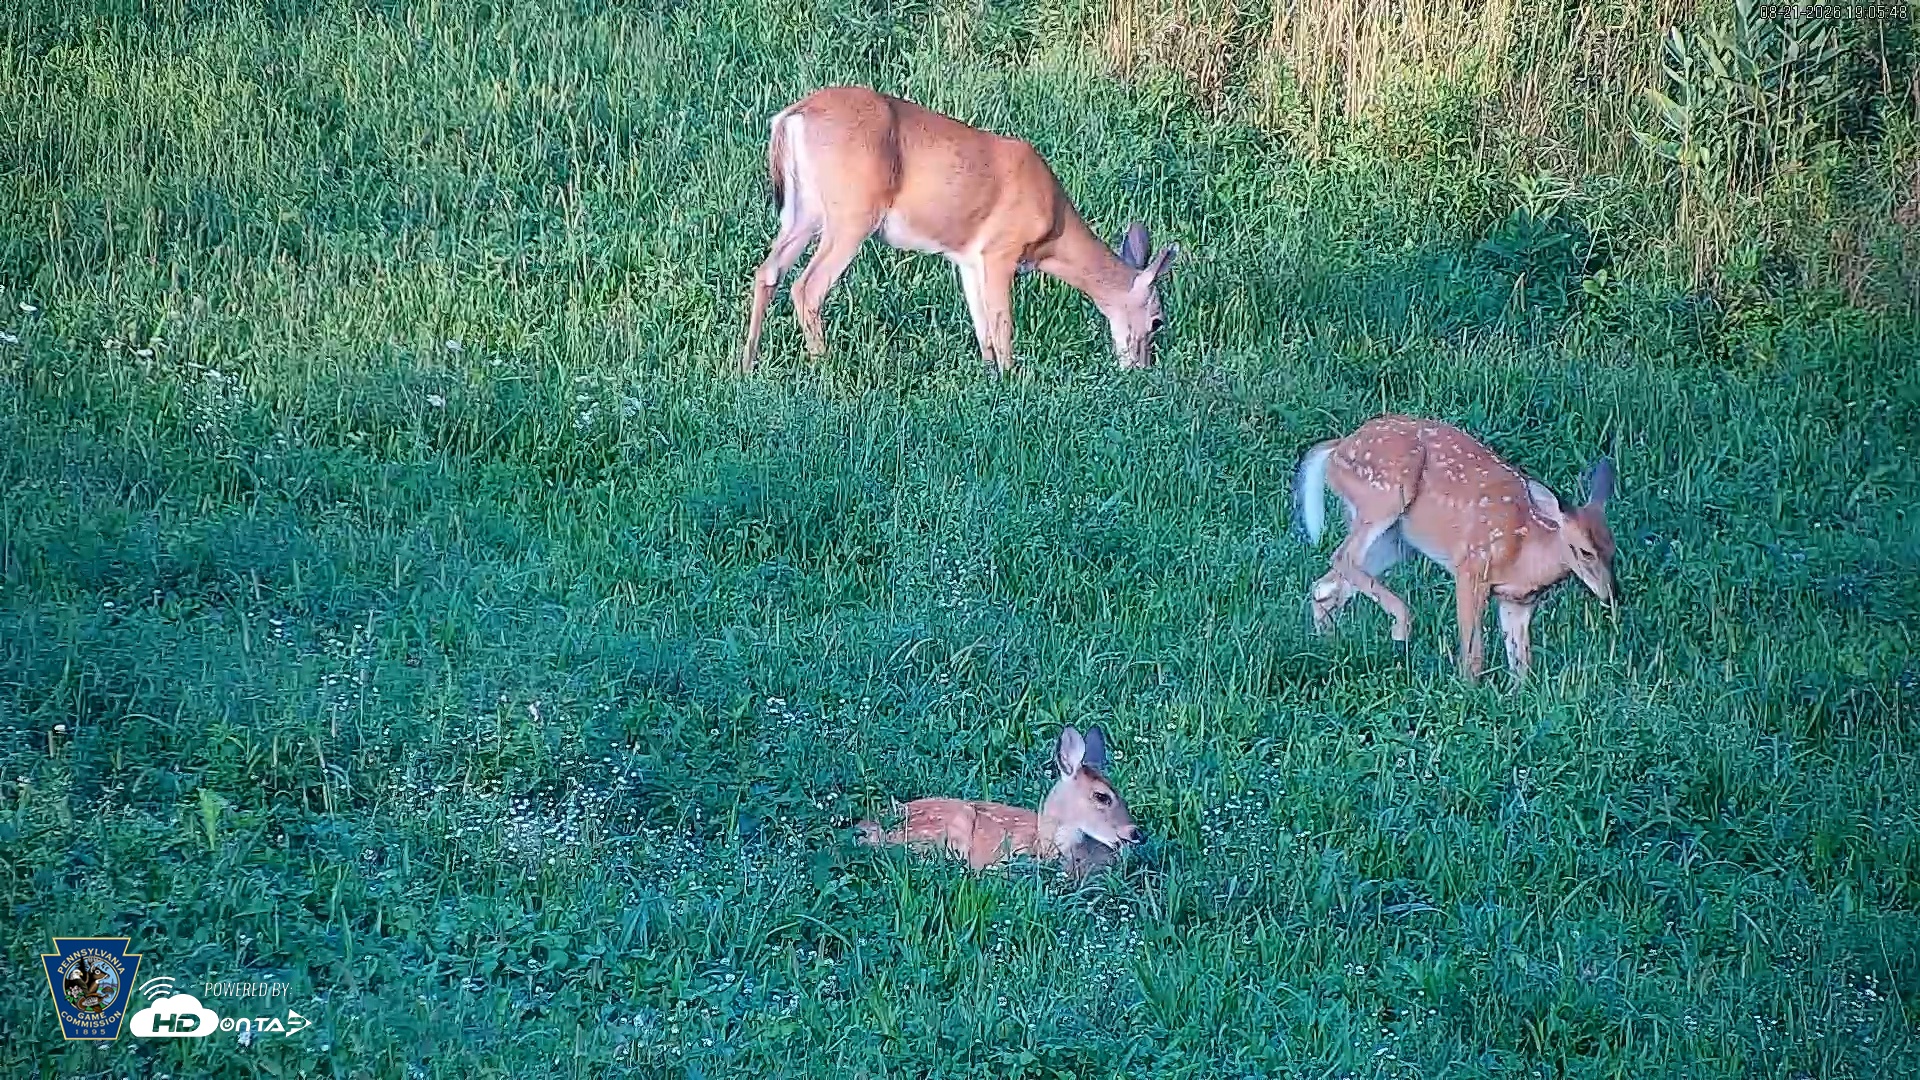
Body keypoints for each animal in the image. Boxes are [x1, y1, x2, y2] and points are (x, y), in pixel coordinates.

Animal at [741, 86, 1177, 375]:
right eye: (1157, 320)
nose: (1142, 368)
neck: (1054, 227)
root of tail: (793, 115)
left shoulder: (968, 258)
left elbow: (982, 325)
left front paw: (988, 377)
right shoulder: (1001, 251)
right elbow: (1003, 325)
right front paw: (1013, 380)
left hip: (803, 213)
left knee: (768, 272)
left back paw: (747, 365)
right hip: (851, 216)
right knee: (807, 287)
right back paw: (826, 370)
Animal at [1292, 415, 1618, 681]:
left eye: (1613, 549)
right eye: (1585, 551)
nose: (1611, 594)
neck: (1526, 553)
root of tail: (1337, 447)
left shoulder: (1518, 601)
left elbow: (1522, 664)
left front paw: (1517, 697)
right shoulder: (1471, 568)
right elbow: (1474, 653)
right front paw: (1469, 689)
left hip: (1397, 541)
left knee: (1326, 585)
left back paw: (1328, 646)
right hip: (1385, 495)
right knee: (1342, 557)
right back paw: (1401, 625)